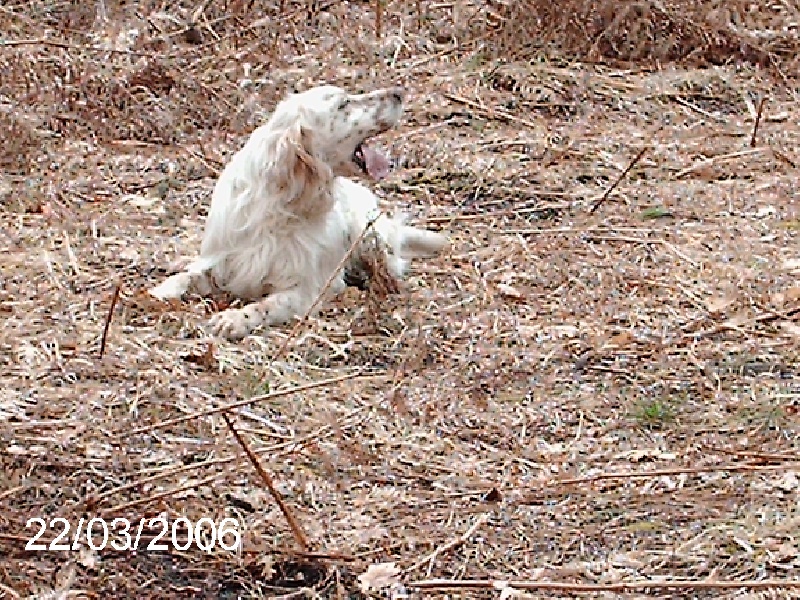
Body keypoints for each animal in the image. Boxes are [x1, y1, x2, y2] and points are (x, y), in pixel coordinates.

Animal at [149, 84, 446, 340]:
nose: (399, 92)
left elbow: (264, 306)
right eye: (344, 104)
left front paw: (233, 319)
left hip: (369, 238)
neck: (277, 204)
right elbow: (187, 277)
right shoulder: (224, 261)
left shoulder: (302, 291)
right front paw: (158, 292)